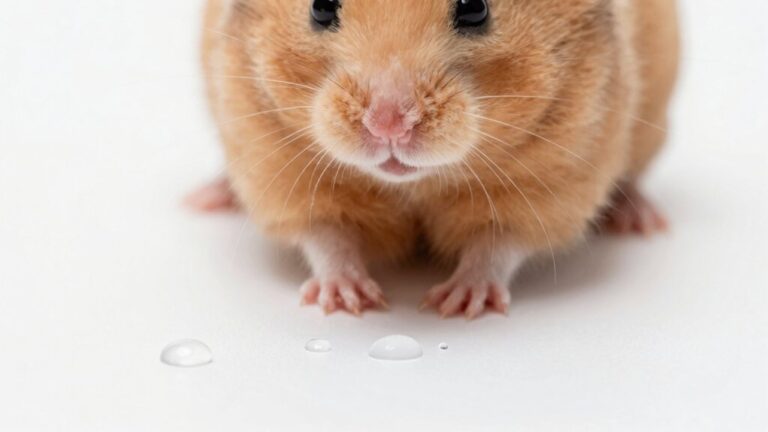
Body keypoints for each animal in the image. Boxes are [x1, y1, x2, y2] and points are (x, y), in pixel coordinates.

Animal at [189, 0, 679, 318]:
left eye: (475, 9)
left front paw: (456, 304)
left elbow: (497, 242)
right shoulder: (273, 159)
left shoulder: (559, 173)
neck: (412, 185)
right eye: (321, 8)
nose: (387, 125)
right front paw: (350, 300)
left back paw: (641, 219)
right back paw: (209, 196)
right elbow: (326, 235)